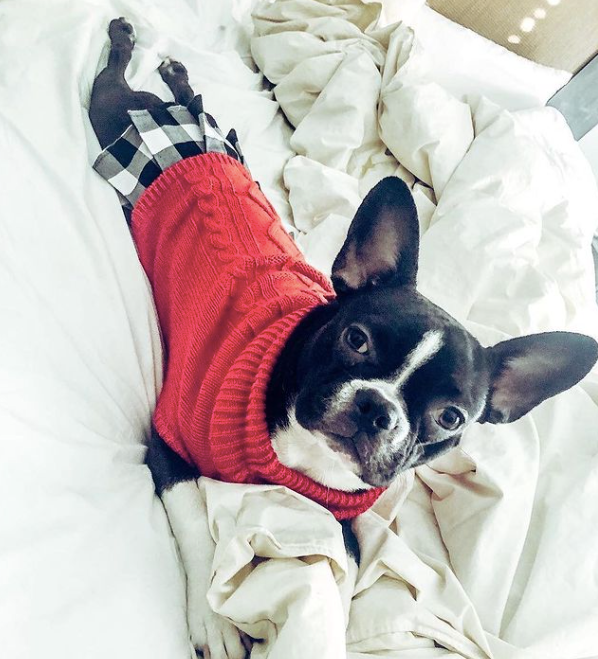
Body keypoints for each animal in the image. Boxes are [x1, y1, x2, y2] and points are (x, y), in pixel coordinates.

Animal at [89, 18, 598, 659]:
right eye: (355, 339)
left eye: (451, 417)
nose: (376, 407)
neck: (300, 454)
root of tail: (175, 125)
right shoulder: (166, 440)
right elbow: (193, 521)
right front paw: (213, 621)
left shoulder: (342, 523)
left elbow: (339, 578)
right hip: (107, 112)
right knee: (112, 76)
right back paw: (125, 38)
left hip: (207, 129)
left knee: (185, 95)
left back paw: (178, 76)